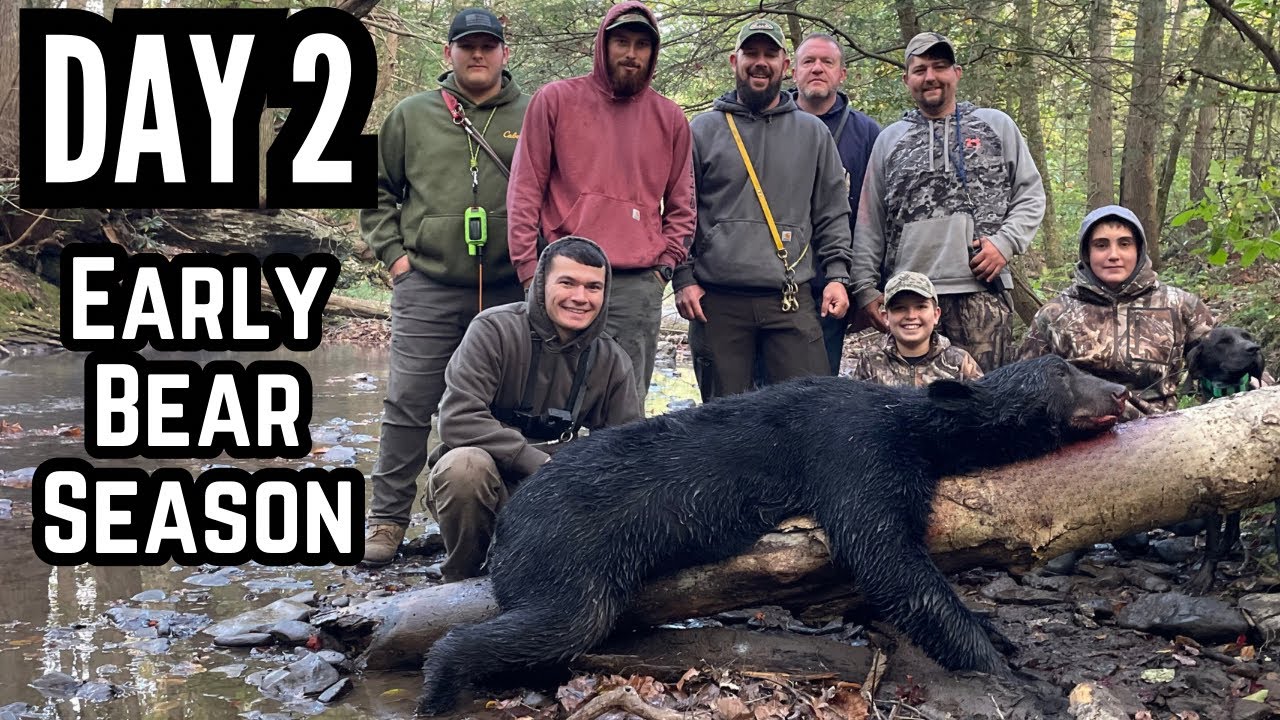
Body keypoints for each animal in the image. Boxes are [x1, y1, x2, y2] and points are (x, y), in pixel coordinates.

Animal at [416, 355, 1129, 714]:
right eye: (1064, 372)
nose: (1122, 389)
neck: (915, 422)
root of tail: (510, 523)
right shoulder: (854, 449)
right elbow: (888, 560)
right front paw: (1012, 676)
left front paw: (1001, 640)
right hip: (565, 548)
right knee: (562, 618)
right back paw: (440, 683)